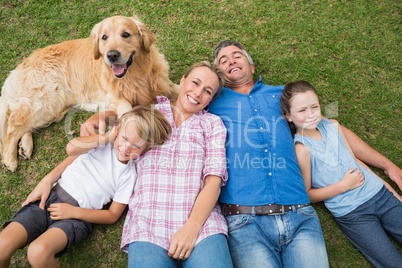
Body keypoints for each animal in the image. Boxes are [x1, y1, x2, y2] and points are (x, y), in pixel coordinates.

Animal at [0, 14, 179, 171]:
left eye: (126, 34)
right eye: (104, 37)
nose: (112, 55)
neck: (135, 76)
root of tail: (18, 68)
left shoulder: (164, 85)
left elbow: (176, 90)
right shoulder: (112, 98)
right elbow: (127, 108)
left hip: (51, 106)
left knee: (22, 125)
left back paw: (25, 147)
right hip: (46, 99)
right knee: (13, 126)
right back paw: (10, 159)